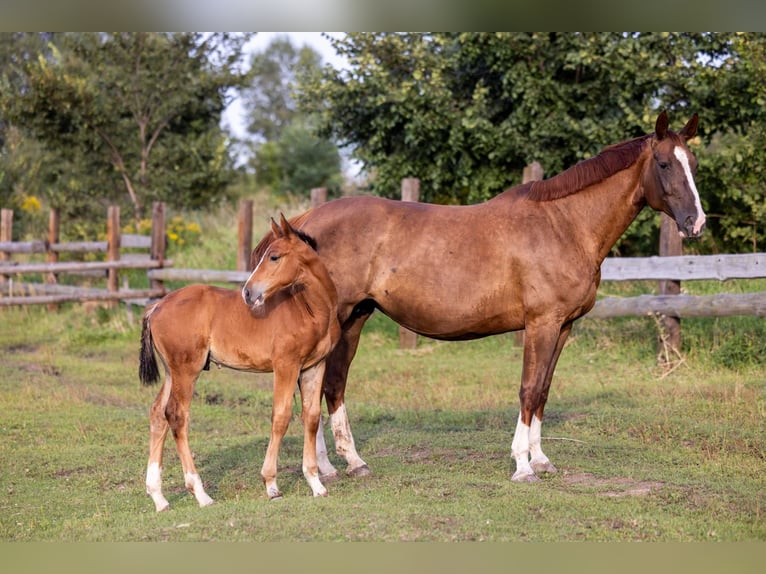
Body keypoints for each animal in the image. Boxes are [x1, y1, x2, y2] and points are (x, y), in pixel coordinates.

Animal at [139, 215, 340, 511]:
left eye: (274, 256)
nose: (248, 293)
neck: (309, 308)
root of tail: (157, 307)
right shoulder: (286, 365)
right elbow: (281, 417)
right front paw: (271, 485)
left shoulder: (314, 366)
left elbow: (312, 416)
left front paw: (316, 483)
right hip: (187, 371)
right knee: (176, 415)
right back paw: (201, 494)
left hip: (171, 372)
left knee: (157, 414)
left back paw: (159, 497)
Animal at [245, 111, 706, 483]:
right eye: (664, 163)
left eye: (694, 164)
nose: (695, 222)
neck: (564, 224)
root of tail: (306, 221)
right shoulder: (541, 323)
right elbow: (527, 389)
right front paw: (522, 466)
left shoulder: (563, 326)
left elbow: (543, 390)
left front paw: (542, 460)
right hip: (341, 318)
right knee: (325, 384)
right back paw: (341, 463)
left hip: (355, 316)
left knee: (324, 384)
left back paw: (335, 465)